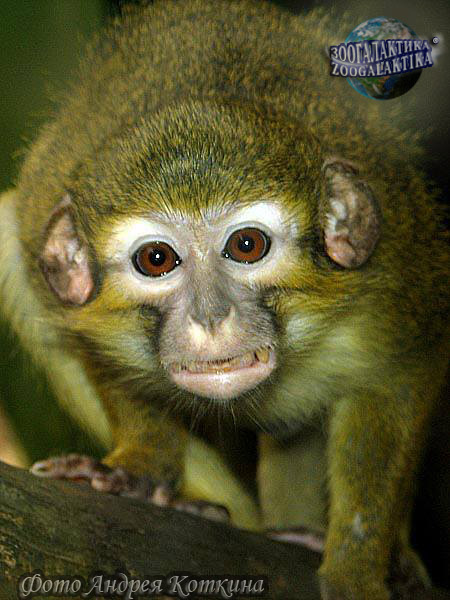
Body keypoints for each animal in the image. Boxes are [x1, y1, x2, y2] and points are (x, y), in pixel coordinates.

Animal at [0, 1, 448, 599]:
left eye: (247, 246)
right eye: (157, 259)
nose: (211, 317)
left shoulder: (398, 272)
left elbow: (400, 375)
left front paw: (359, 566)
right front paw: (141, 470)